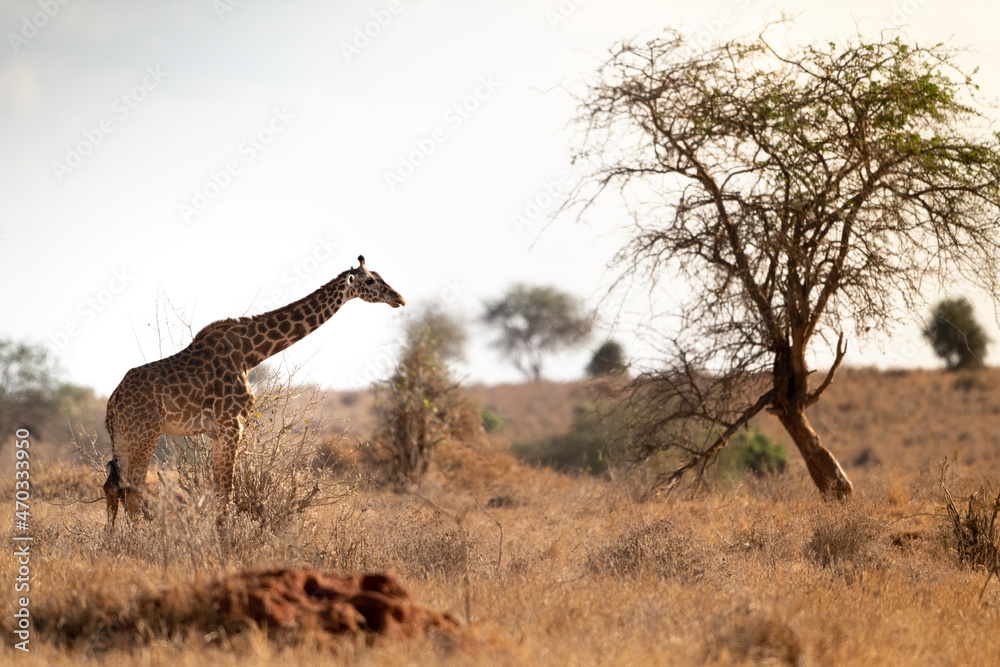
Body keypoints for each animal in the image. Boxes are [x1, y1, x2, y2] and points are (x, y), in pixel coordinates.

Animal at [103, 255, 405, 525]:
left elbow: (218, 489)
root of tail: (113, 400)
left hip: (123, 436)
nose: (399, 298)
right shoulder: (232, 423)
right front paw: (223, 543)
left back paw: (114, 539)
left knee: (113, 485)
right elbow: (226, 490)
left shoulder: (216, 431)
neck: (250, 354)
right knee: (133, 488)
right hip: (145, 433)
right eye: (370, 280)